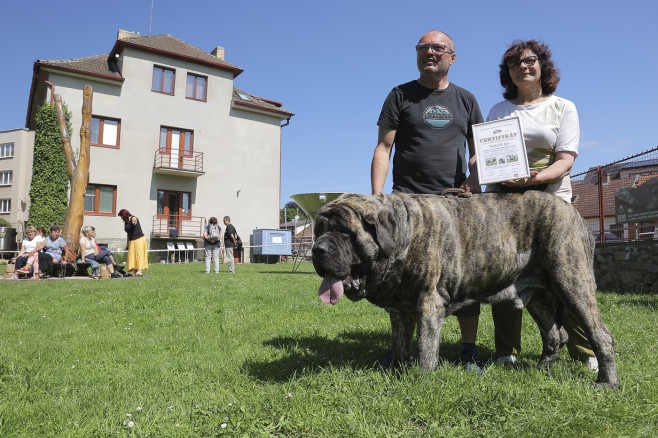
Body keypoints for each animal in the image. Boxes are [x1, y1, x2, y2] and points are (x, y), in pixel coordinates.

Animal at [312, 192, 616, 386]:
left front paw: (422, 382)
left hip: (572, 281)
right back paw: (542, 370)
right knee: (555, 334)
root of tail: (574, 212)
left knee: (601, 335)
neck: (402, 236)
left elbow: (426, 348)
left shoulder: (429, 303)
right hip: (538, 296)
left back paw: (606, 382)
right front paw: (397, 373)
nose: (317, 249)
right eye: (318, 230)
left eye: (344, 232)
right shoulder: (399, 310)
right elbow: (400, 345)